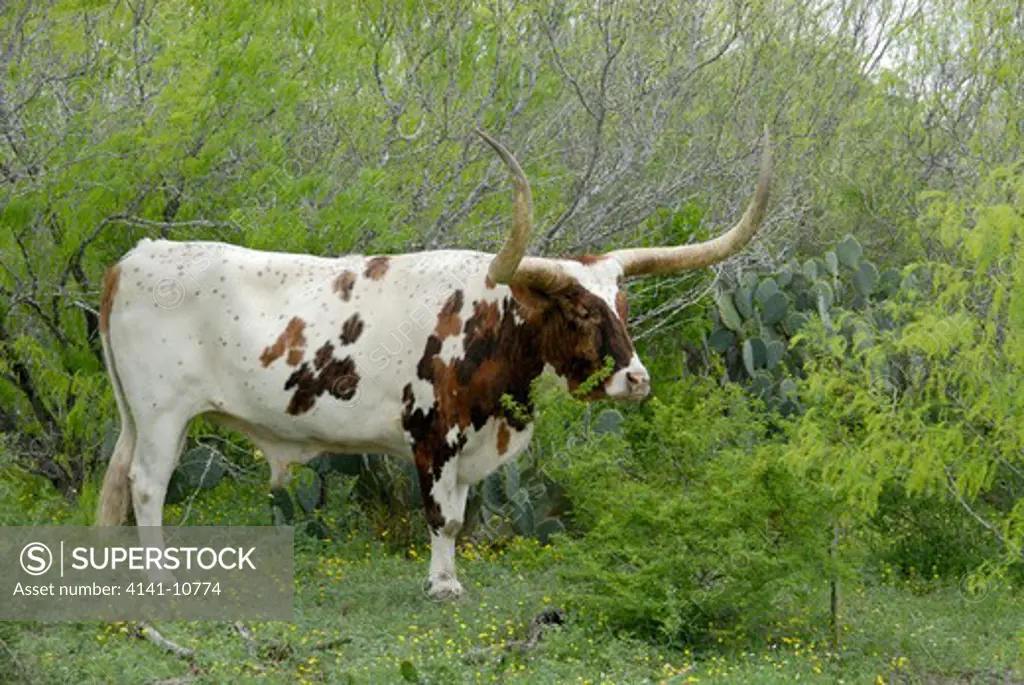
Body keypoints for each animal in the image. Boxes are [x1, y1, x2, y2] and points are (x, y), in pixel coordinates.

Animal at [96, 129, 770, 597]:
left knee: (118, 480)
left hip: (137, 416)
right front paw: (444, 586)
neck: (491, 321)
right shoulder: (434, 433)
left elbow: (461, 516)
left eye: (622, 304)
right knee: (148, 485)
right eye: (580, 310)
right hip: (163, 413)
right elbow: (443, 519)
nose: (637, 380)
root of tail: (134, 257)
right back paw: (159, 577)